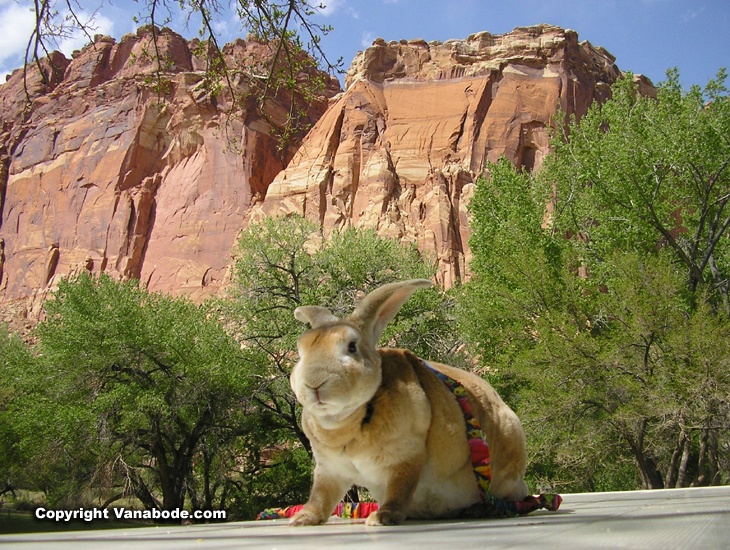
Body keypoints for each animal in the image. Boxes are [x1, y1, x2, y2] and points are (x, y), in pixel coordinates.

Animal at [288, 282, 528, 528]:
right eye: (301, 351)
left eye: (352, 347)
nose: (313, 383)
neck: (355, 418)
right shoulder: (330, 469)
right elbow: (321, 495)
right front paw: (303, 518)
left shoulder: (405, 456)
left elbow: (399, 488)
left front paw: (382, 517)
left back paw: (479, 509)